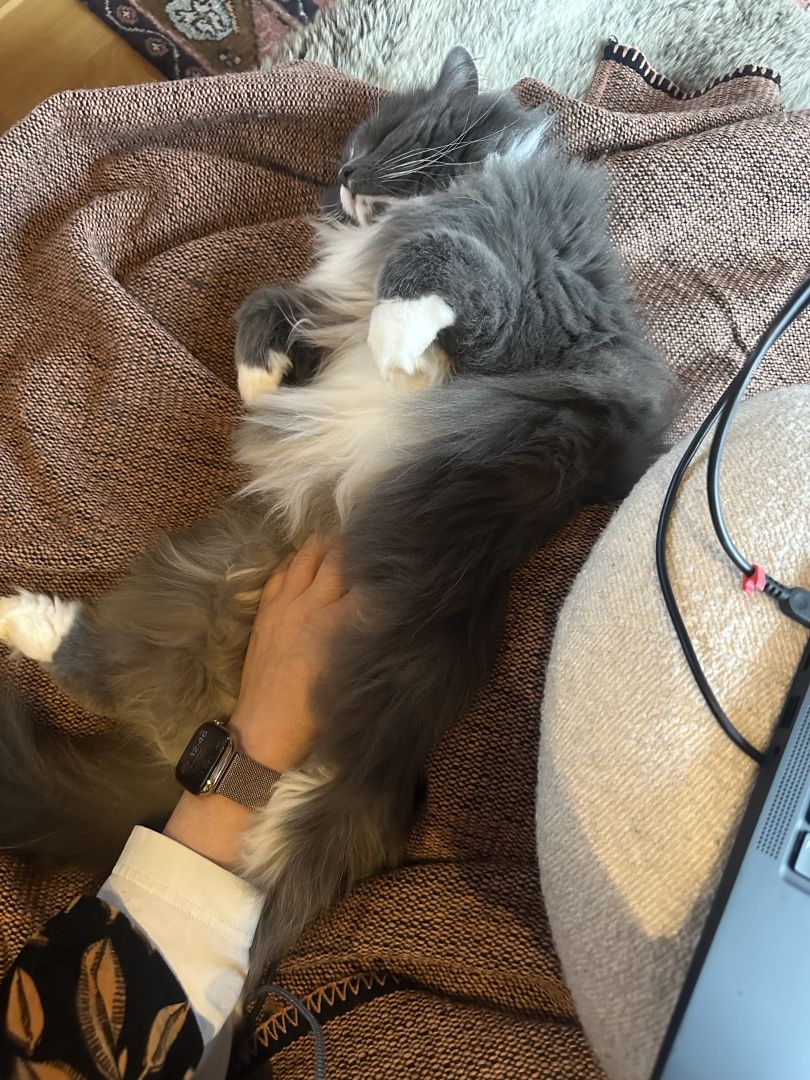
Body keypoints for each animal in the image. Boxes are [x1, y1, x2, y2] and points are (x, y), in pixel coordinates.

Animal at [0, 48, 678, 972]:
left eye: (380, 140)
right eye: (346, 156)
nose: (346, 177)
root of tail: (189, 725)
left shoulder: (537, 288)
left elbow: (433, 261)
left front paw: (398, 352)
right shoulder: (324, 302)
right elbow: (269, 299)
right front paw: (261, 382)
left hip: (364, 741)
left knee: (274, 877)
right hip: (205, 584)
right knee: (97, 666)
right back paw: (25, 620)